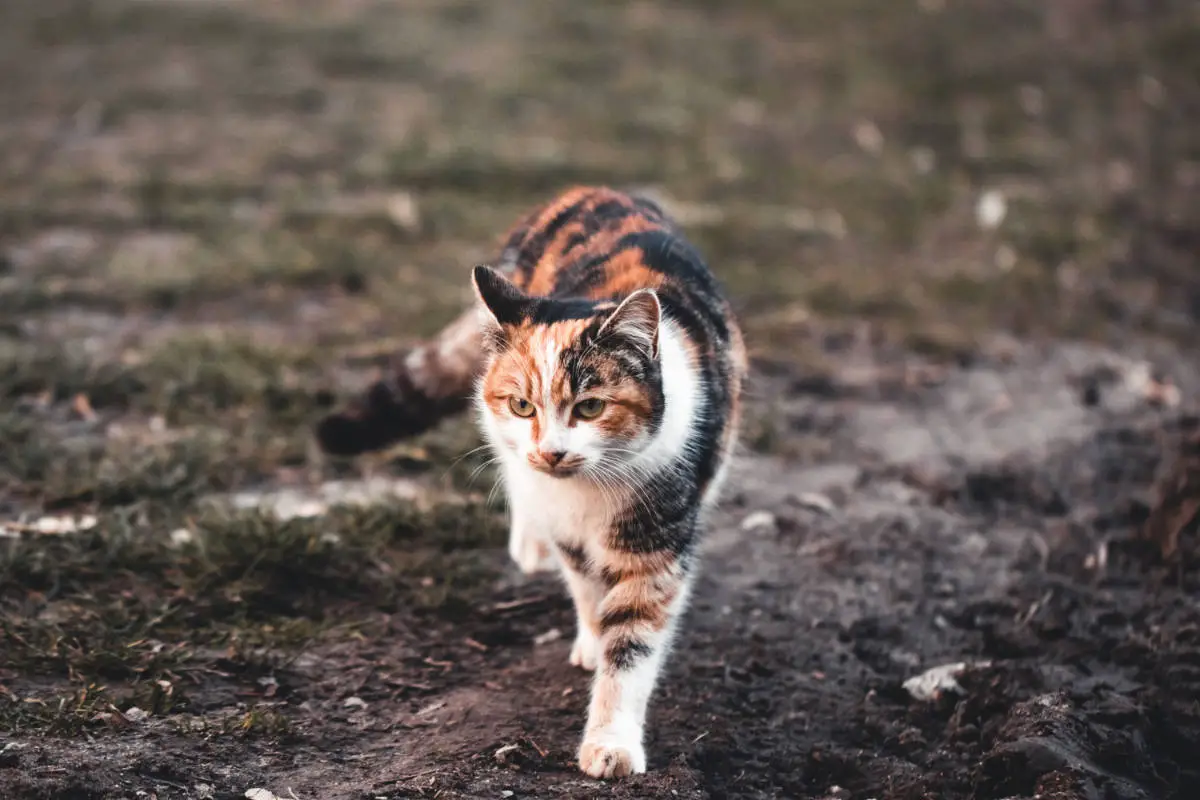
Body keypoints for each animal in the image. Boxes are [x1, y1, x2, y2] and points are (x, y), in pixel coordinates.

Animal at [314, 185, 744, 777]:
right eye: (522, 405)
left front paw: (610, 743)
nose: (550, 451)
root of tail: (593, 188)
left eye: (590, 407)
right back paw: (529, 541)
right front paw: (592, 639)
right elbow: (586, 590)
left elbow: (631, 641)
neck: (588, 490)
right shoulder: (560, 514)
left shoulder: (657, 532)